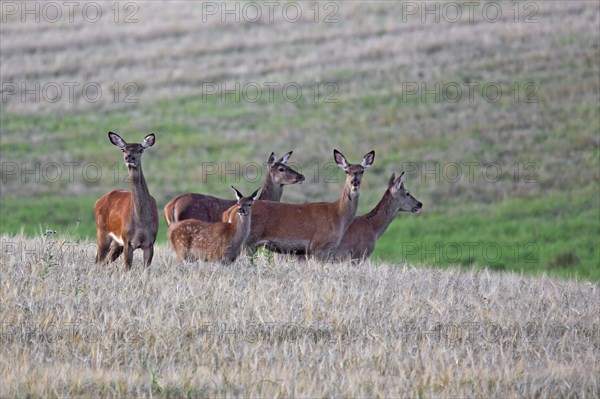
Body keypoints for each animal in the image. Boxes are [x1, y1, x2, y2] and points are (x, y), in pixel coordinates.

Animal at [94, 133, 158, 270]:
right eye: (123, 149)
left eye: (140, 149)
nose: (129, 157)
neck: (141, 222)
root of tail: (98, 201)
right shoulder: (128, 241)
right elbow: (127, 267)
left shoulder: (150, 243)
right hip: (102, 232)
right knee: (99, 260)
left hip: (117, 243)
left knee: (105, 260)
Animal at [224, 148, 376, 260]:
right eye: (346, 171)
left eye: (362, 171)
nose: (355, 183)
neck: (339, 215)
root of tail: (229, 212)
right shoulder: (319, 246)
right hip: (248, 241)